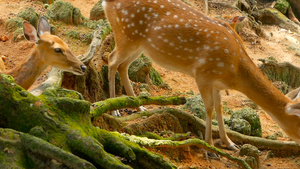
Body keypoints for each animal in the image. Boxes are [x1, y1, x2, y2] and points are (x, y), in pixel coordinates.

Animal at [102, 0, 300, 151]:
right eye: (299, 123)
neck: (235, 70)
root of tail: (106, 2)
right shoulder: (203, 74)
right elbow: (209, 108)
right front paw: (210, 146)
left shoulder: (217, 83)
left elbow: (219, 107)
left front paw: (230, 143)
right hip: (126, 35)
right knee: (111, 60)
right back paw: (114, 109)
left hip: (140, 45)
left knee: (123, 65)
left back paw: (139, 106)